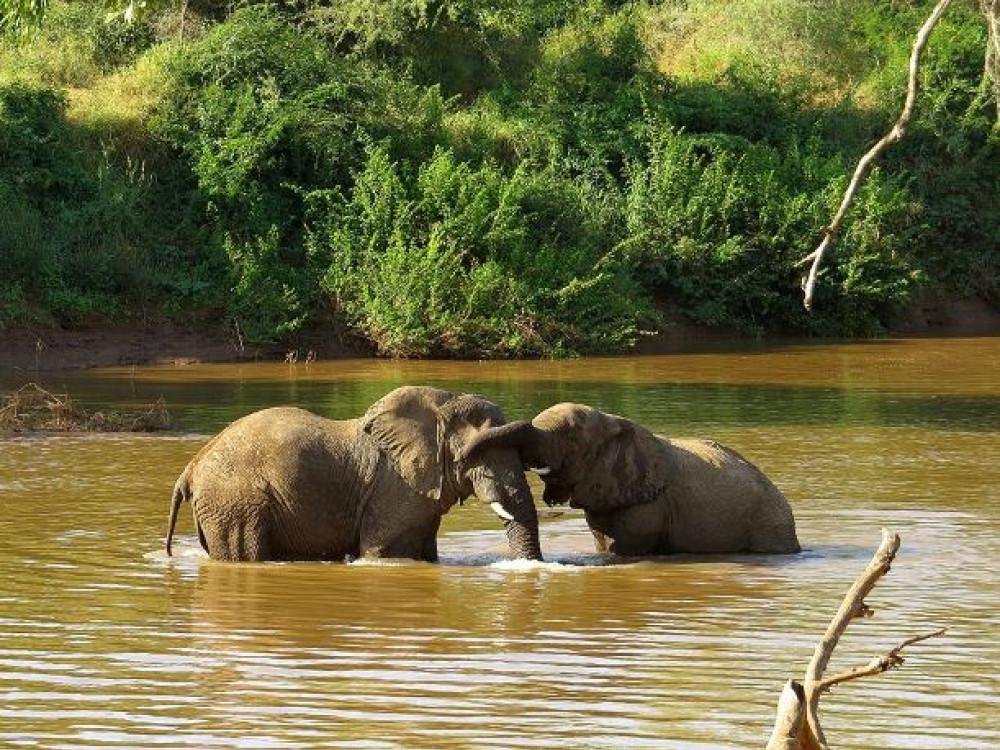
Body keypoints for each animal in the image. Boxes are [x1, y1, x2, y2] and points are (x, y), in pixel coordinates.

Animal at [166, 388, 540, 564]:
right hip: (235, 504)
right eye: (476, 454)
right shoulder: (393, 489)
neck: (440, 405)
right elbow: (385, 553)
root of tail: (191, 468)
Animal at [458, 406, 796, 560]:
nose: (461, 455)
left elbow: (623, 548)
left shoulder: (647, 505)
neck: (612, 420)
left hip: (769, 523)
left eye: (572, 441)